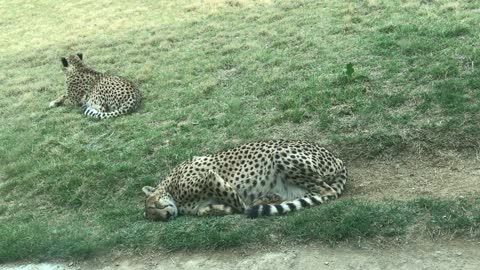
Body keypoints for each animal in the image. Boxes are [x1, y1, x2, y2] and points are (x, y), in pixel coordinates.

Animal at [141, 140, 346, 220]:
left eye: (153, 205)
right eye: (154, 217)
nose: (166, 216)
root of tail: (337, 158)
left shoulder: (208, 176)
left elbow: (236, 200)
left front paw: (241, 206)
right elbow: (205, 211)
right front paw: (222, 209)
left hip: (280, 154)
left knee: (327, 191)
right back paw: (268, 199)